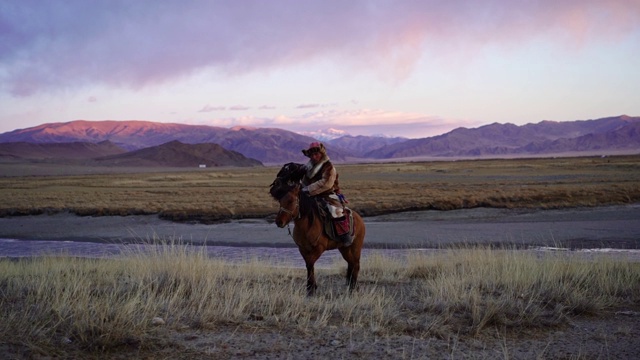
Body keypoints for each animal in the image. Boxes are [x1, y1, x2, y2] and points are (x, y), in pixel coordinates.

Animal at [268, 166, 364, 296]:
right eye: (280, 201)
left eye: (291, 201)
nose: (279, 222)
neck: (307, 225)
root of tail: (359, 219)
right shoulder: (303, 249)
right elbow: (309, 266)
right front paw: (310, 287)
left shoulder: (319, 248)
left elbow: (310, 263)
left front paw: (311, 288)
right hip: (344, 248)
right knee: (351, 264)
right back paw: (350, 286)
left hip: (355, 247)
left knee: (356, 264)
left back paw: (352, 288)